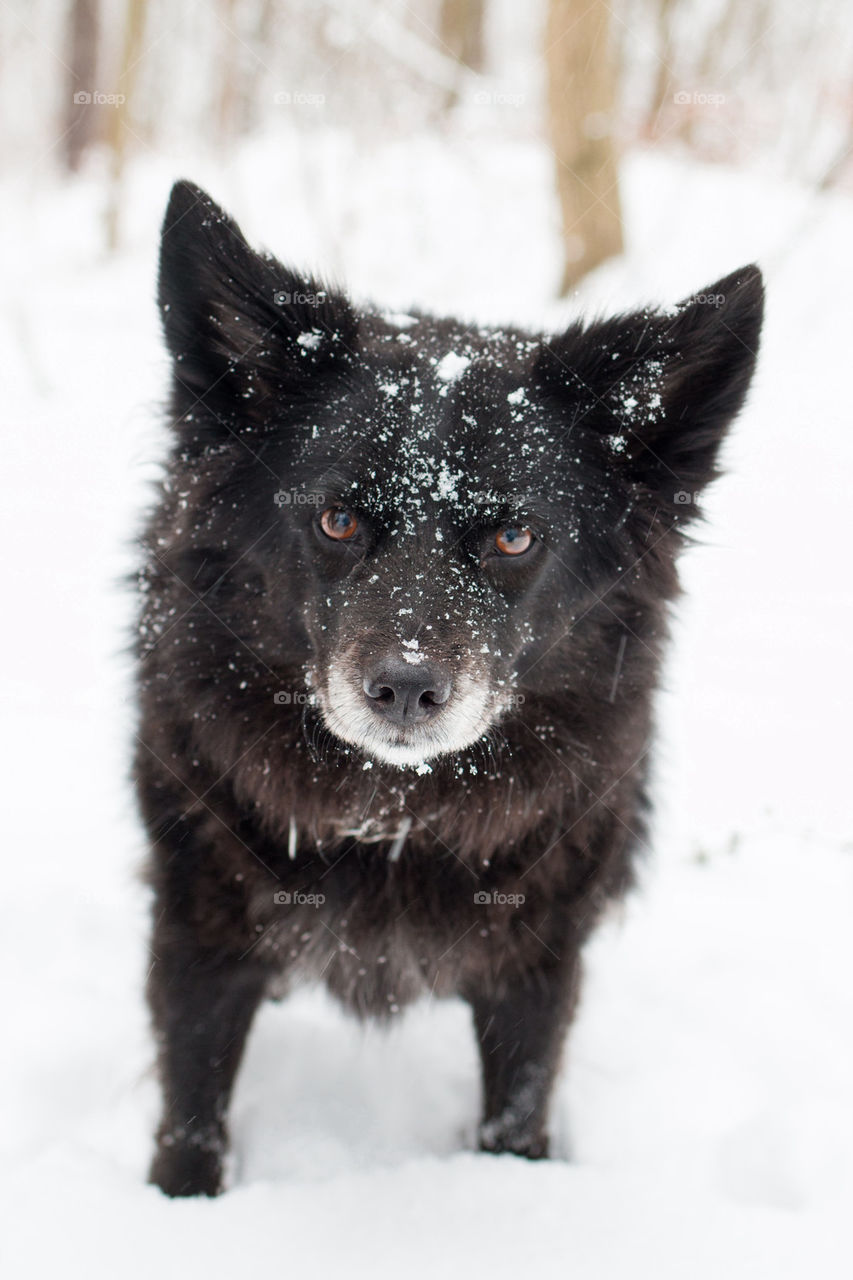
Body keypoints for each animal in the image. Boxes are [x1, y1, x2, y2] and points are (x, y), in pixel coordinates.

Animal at [136, 183, 758, 1198]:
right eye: (337, 520)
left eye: (514, 538)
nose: (404, 689)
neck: (394, 819)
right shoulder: (197, 933)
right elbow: (189, 1117)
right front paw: (180, 1208)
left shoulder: (535, 964)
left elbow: (517, 1111)